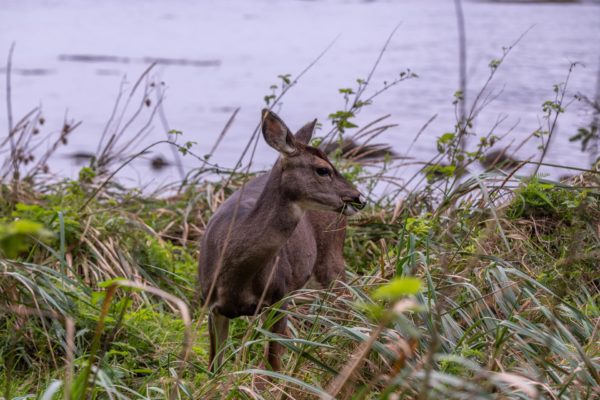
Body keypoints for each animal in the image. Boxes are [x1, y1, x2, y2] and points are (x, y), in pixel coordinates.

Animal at [199, 109, 364, 372]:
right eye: (322, 170)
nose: (358, 198)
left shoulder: (279, 295)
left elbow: (273, 363)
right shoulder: (211, 305)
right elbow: (214, 366)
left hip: (330, 257)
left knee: (345, 301)